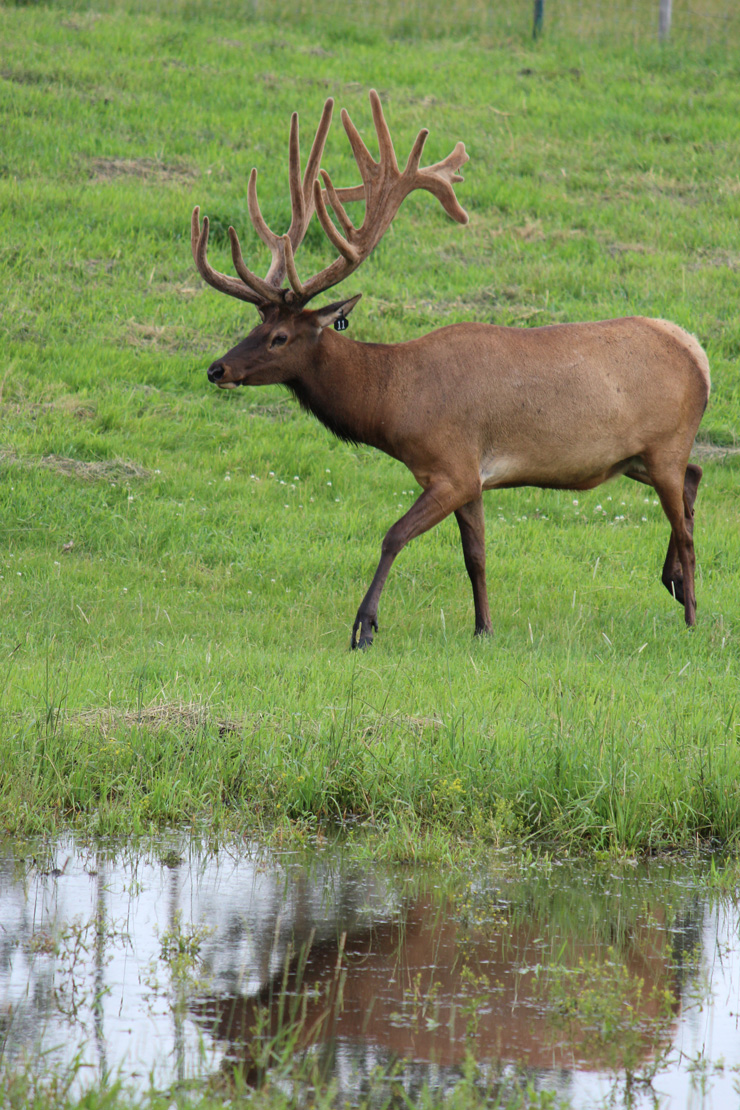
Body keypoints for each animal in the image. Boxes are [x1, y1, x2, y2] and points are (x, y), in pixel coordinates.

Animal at [193, 95, 710, 652]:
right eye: (256, 323)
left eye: (280, 337)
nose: (218, 369)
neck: (395, 404)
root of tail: (697, 351)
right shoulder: (473, 479)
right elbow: (475, 556)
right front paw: (483, 627)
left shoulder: (452, 466)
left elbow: (394, 534)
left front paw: (364, 627)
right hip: (636, 456)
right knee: (695, 479)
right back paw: (674, 583)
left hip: (665, 443)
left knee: (684, 522)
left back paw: (691, 614)